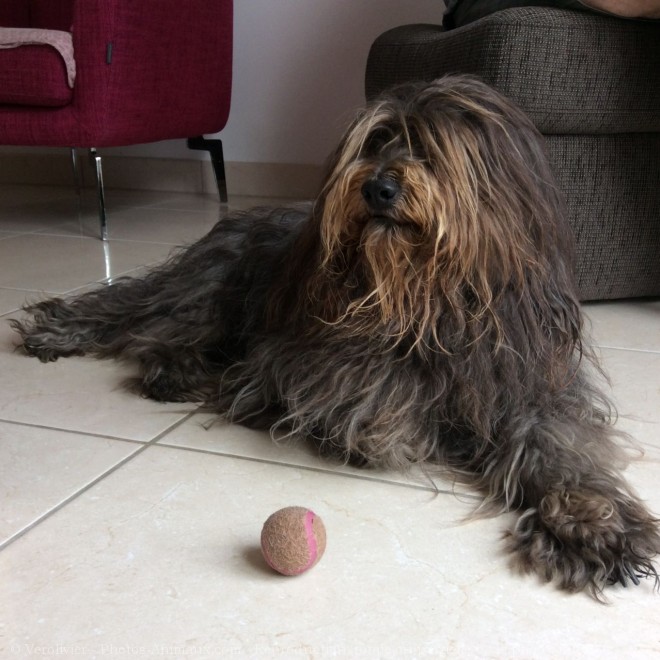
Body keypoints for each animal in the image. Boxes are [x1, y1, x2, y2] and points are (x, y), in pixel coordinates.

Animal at [11, 76, 660, 600]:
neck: (427, 301)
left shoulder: (531, 391)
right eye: (374, 142)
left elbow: (561, 450)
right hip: (212, 290)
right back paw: (90, 340)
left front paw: (594, 523)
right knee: (137, 316)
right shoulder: (303, 365)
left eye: (430, 148)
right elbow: (375, 405)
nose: (378, 189)